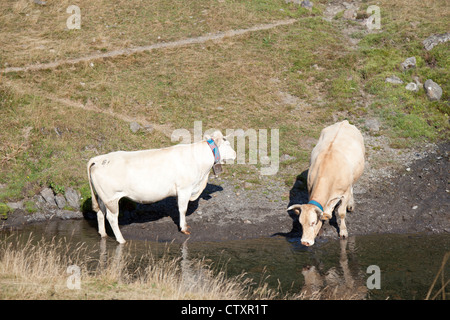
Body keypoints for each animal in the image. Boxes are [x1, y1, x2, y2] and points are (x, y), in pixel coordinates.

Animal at [86, 131, 237, 244]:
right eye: (228, 143)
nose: (236, 154)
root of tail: (99, 159)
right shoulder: (184, 188)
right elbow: (183, 209)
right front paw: (184, 228)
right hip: (111, 199)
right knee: (112, 218)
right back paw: (121, 240)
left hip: (103, 198)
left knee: (100, 214)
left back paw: (103, 235)